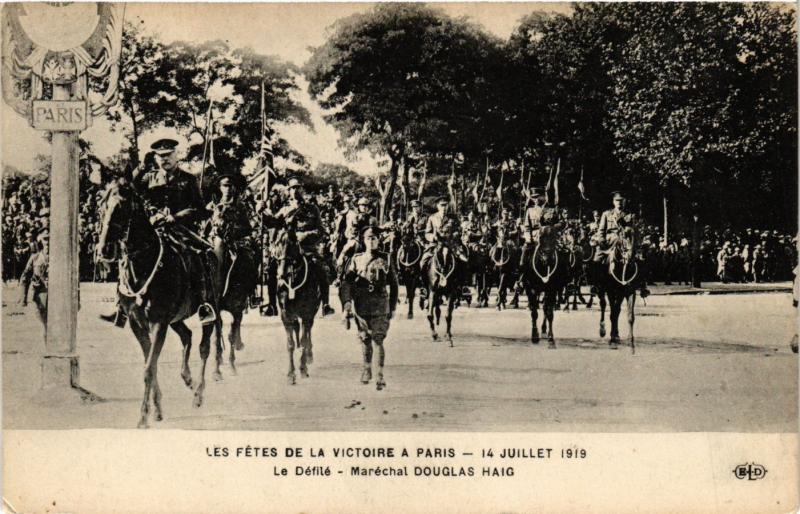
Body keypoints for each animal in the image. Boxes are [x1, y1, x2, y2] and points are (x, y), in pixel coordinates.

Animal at [97, 178, 222, 426]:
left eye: (122, 207)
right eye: (102, 207)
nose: (103, 249)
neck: (142, 265)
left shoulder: (158, 323)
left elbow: (148, 368)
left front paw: (143, 417)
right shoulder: (137, 323)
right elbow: (151, 364)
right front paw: (157, 409)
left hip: (208, 310)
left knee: (204, 347)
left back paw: (198, 393)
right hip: (176, 319)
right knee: (186, 336)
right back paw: (187, 378)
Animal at [268, 226, 318, 382]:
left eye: (293, 244)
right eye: (278, 243)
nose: (282, 274)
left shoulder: (307, 314)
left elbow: (304, 339)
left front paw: (302, 368)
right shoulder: (285, 315)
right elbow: (290, 344)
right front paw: (291, 373)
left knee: (307, 333)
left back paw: (309, 356)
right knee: (297, 329)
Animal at [596, 226, 640, 354]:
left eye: (635, 235)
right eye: (624, 236)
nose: (630, 257)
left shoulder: (630, 292)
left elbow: (630, 316)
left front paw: (631, 344)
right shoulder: (611, 291)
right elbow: (613, 314)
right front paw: (612, 340)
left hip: (619, 294)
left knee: (617, 310)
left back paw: (616, 335)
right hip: (601, 289)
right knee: (603, 305)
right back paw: (603, 330)